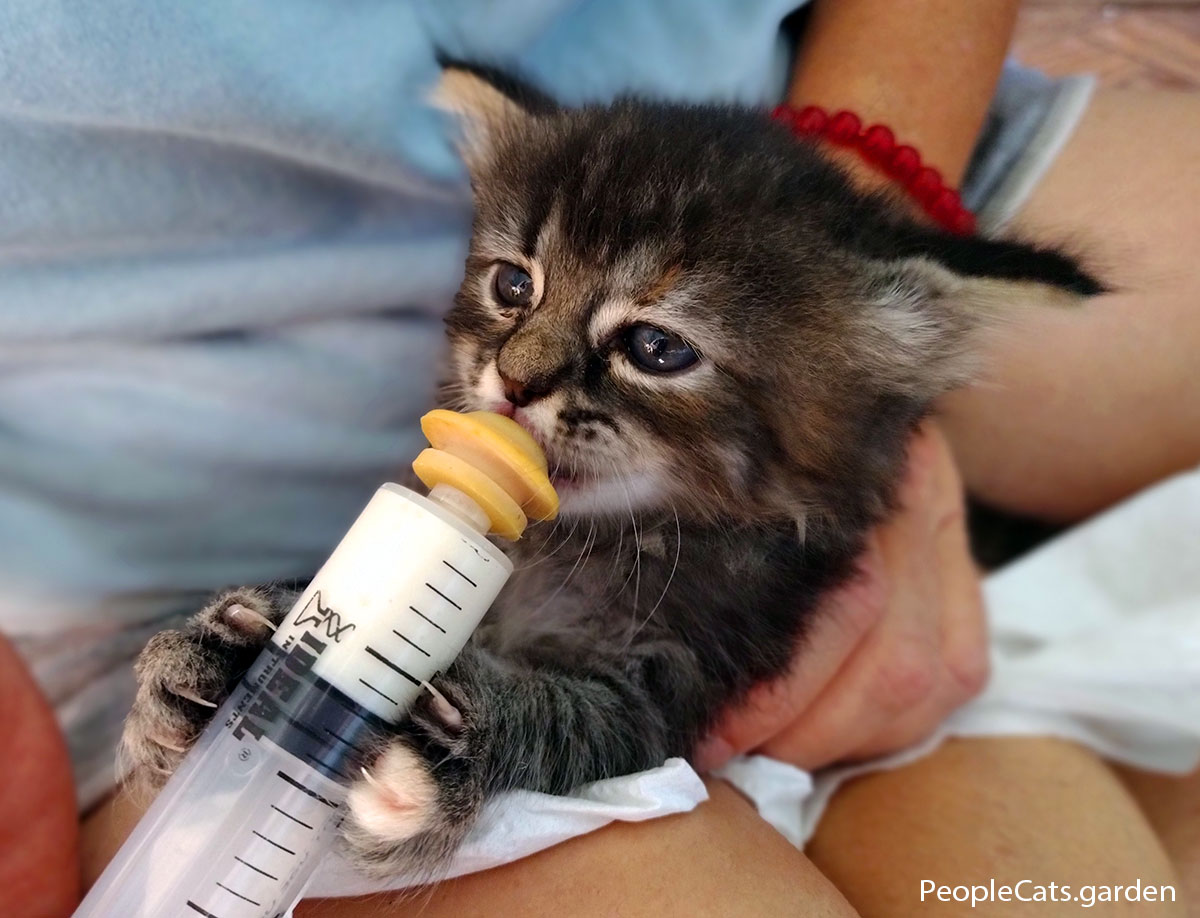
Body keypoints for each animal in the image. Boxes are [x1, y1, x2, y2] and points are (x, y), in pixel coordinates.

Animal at [119, 62, 1099, 873]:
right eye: (514, 286)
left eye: (657, 349)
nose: (514, 381)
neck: (573, 543)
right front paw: (215, 651)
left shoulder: (681, 680)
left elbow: (587, 719)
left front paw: (453, 748)